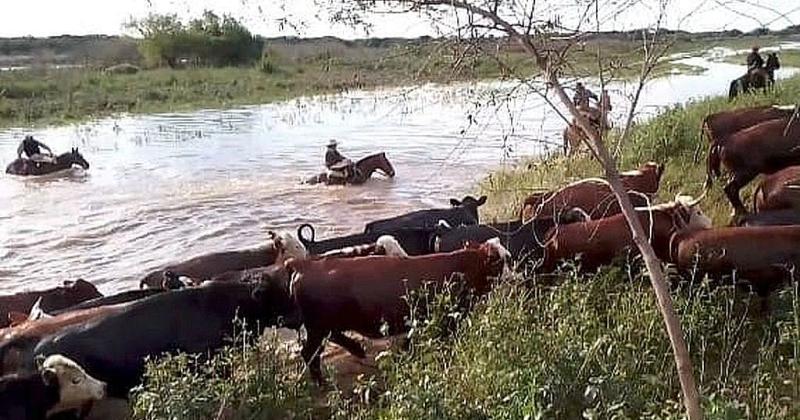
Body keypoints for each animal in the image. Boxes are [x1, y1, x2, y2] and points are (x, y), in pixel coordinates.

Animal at [282, 238, 506, 382]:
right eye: (502, 261)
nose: (513, 276)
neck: (461, 266)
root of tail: (303, 264)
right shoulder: (448, 320)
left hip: (322, 327)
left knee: (330, 340)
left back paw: (357, 349)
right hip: (317, 327)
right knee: (310, 353)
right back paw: (323, 381)